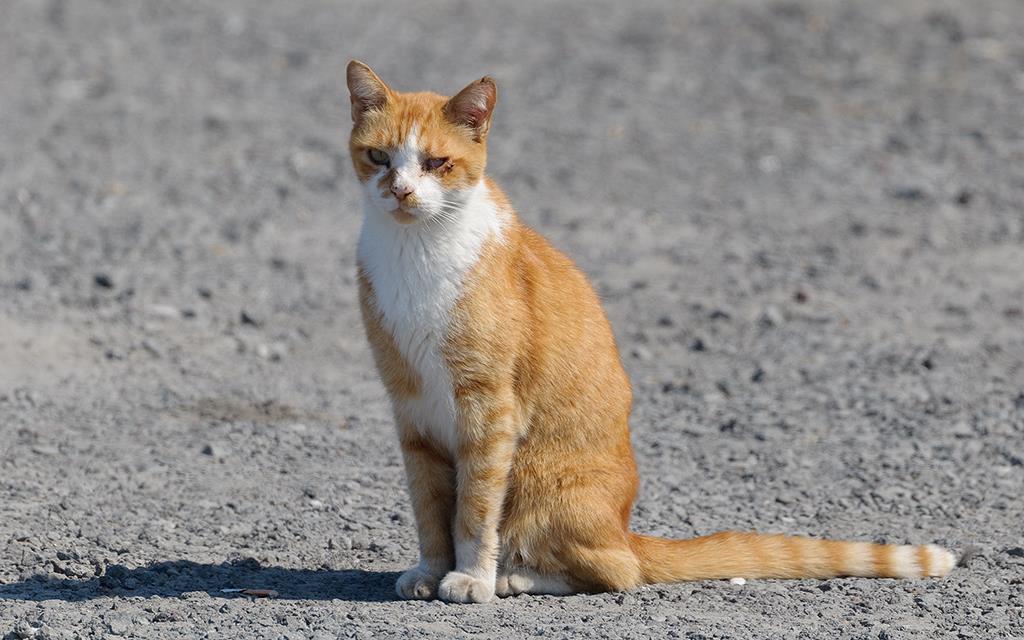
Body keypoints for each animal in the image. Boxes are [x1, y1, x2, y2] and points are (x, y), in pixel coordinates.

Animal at [346, 61, 958, 602]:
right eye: (379, 157)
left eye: (436, 163)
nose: (401, 192)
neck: (414, 253)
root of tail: (624, 526)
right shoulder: (411, 408)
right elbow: (430, 508)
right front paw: (432, 570)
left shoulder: (488, 408)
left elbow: (475, 509)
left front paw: (471, 577)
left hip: (541, 483)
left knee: (617, 570)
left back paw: (513, 577)